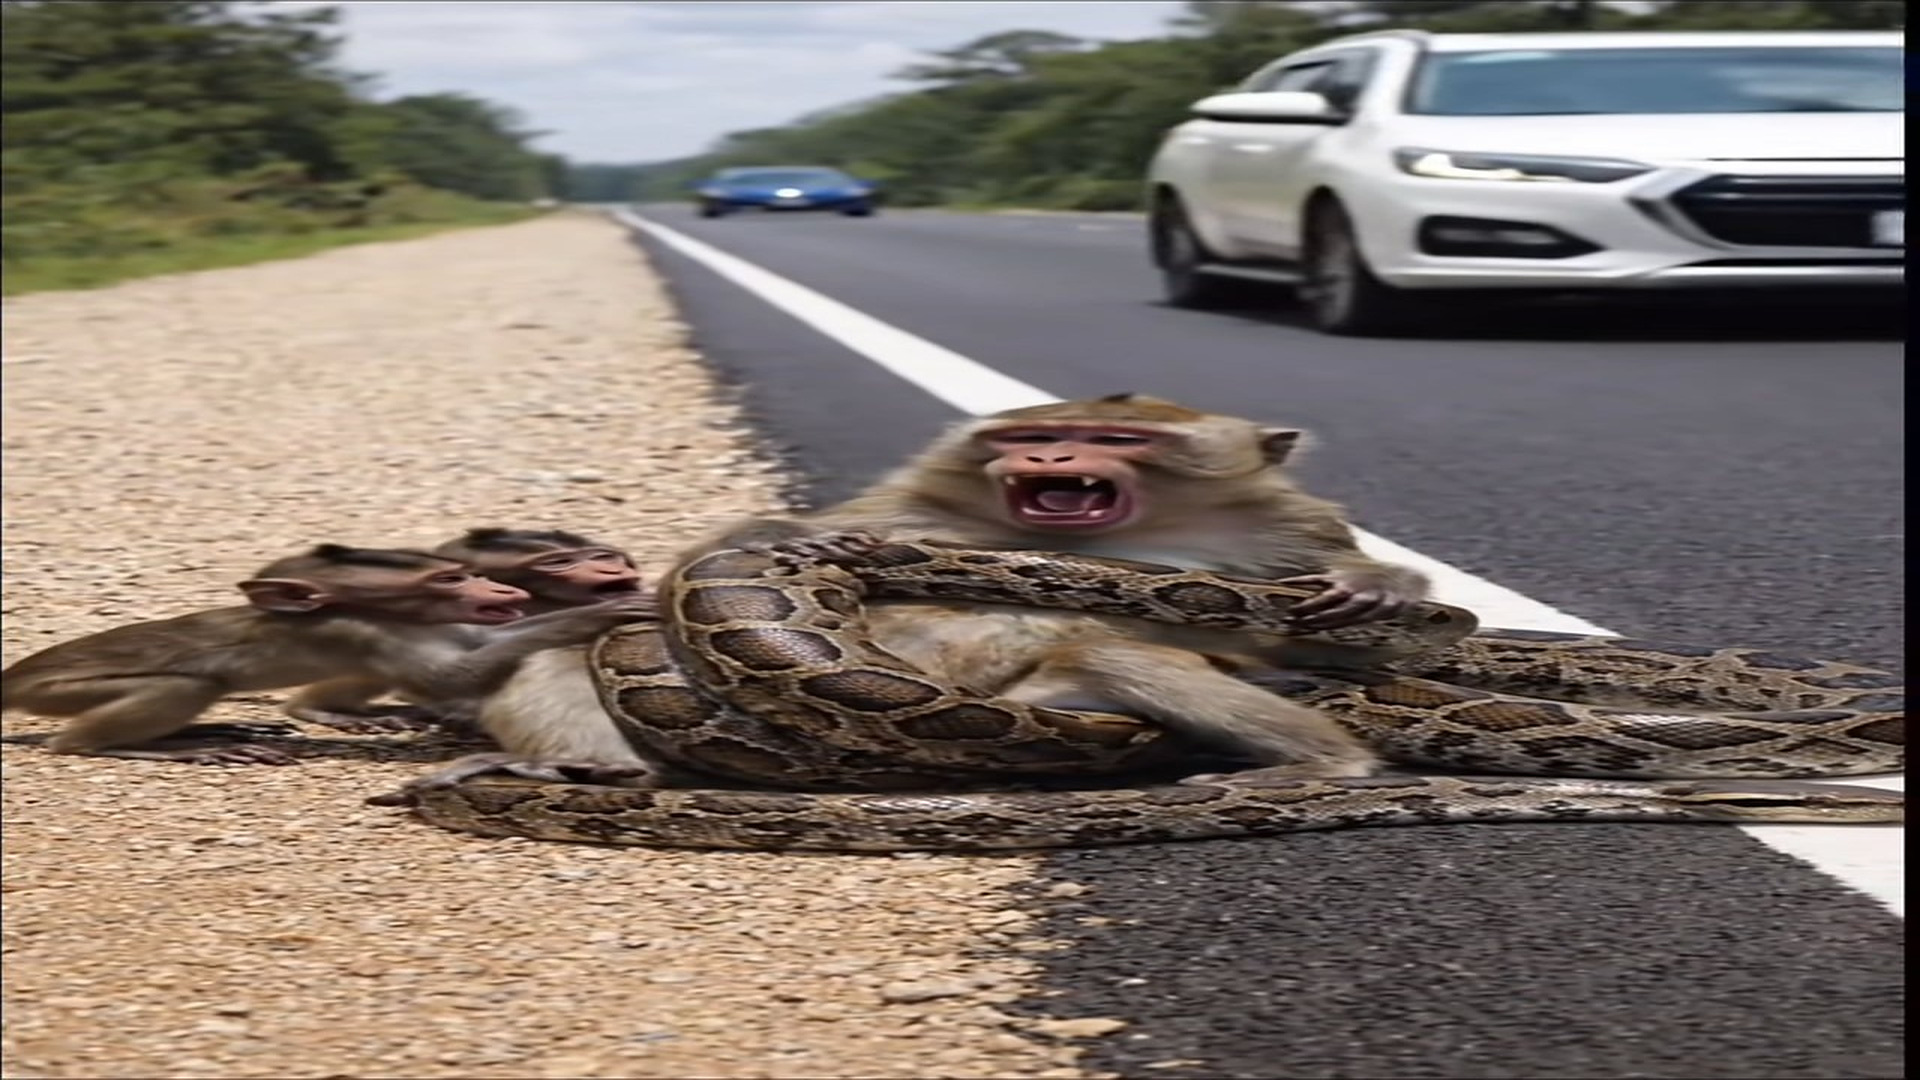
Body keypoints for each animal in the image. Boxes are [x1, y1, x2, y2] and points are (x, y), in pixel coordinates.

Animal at [386, 395, 1429, 797]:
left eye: (1115, 436)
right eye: (1030, 434)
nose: (1045, 456)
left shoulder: (1279, 532)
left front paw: (1371, 582)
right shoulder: (899, 510)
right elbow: (744, 540)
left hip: (1059, 702)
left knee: (1117, 653)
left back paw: (1324, 763)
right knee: (560, 658)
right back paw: (581, 765)